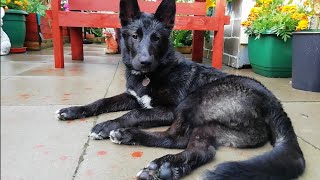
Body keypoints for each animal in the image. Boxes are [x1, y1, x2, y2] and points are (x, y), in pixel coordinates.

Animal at [57, 0, 304, 179]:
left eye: (156, 38)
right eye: (135, 36)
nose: (144, 62)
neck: (150, 74)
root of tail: (276, 105)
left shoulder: (169, 109)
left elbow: (134, 113)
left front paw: (107, 125)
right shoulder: (132, 96)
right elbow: (102, 101)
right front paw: (73, 110)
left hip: (193, 101)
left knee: (175, 137)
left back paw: (132, 139)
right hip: (210, 127)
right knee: (199, 149)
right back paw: (168, 167)